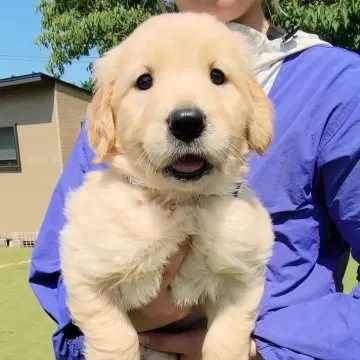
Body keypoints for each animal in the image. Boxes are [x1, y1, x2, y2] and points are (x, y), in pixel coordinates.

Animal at [59, 11, 272, 360]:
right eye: (144, 81)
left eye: (217, 76)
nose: (186, 122)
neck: (180, 204)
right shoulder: (87, 275)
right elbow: (116, 337)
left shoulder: (243, 279)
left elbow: (226, 339)